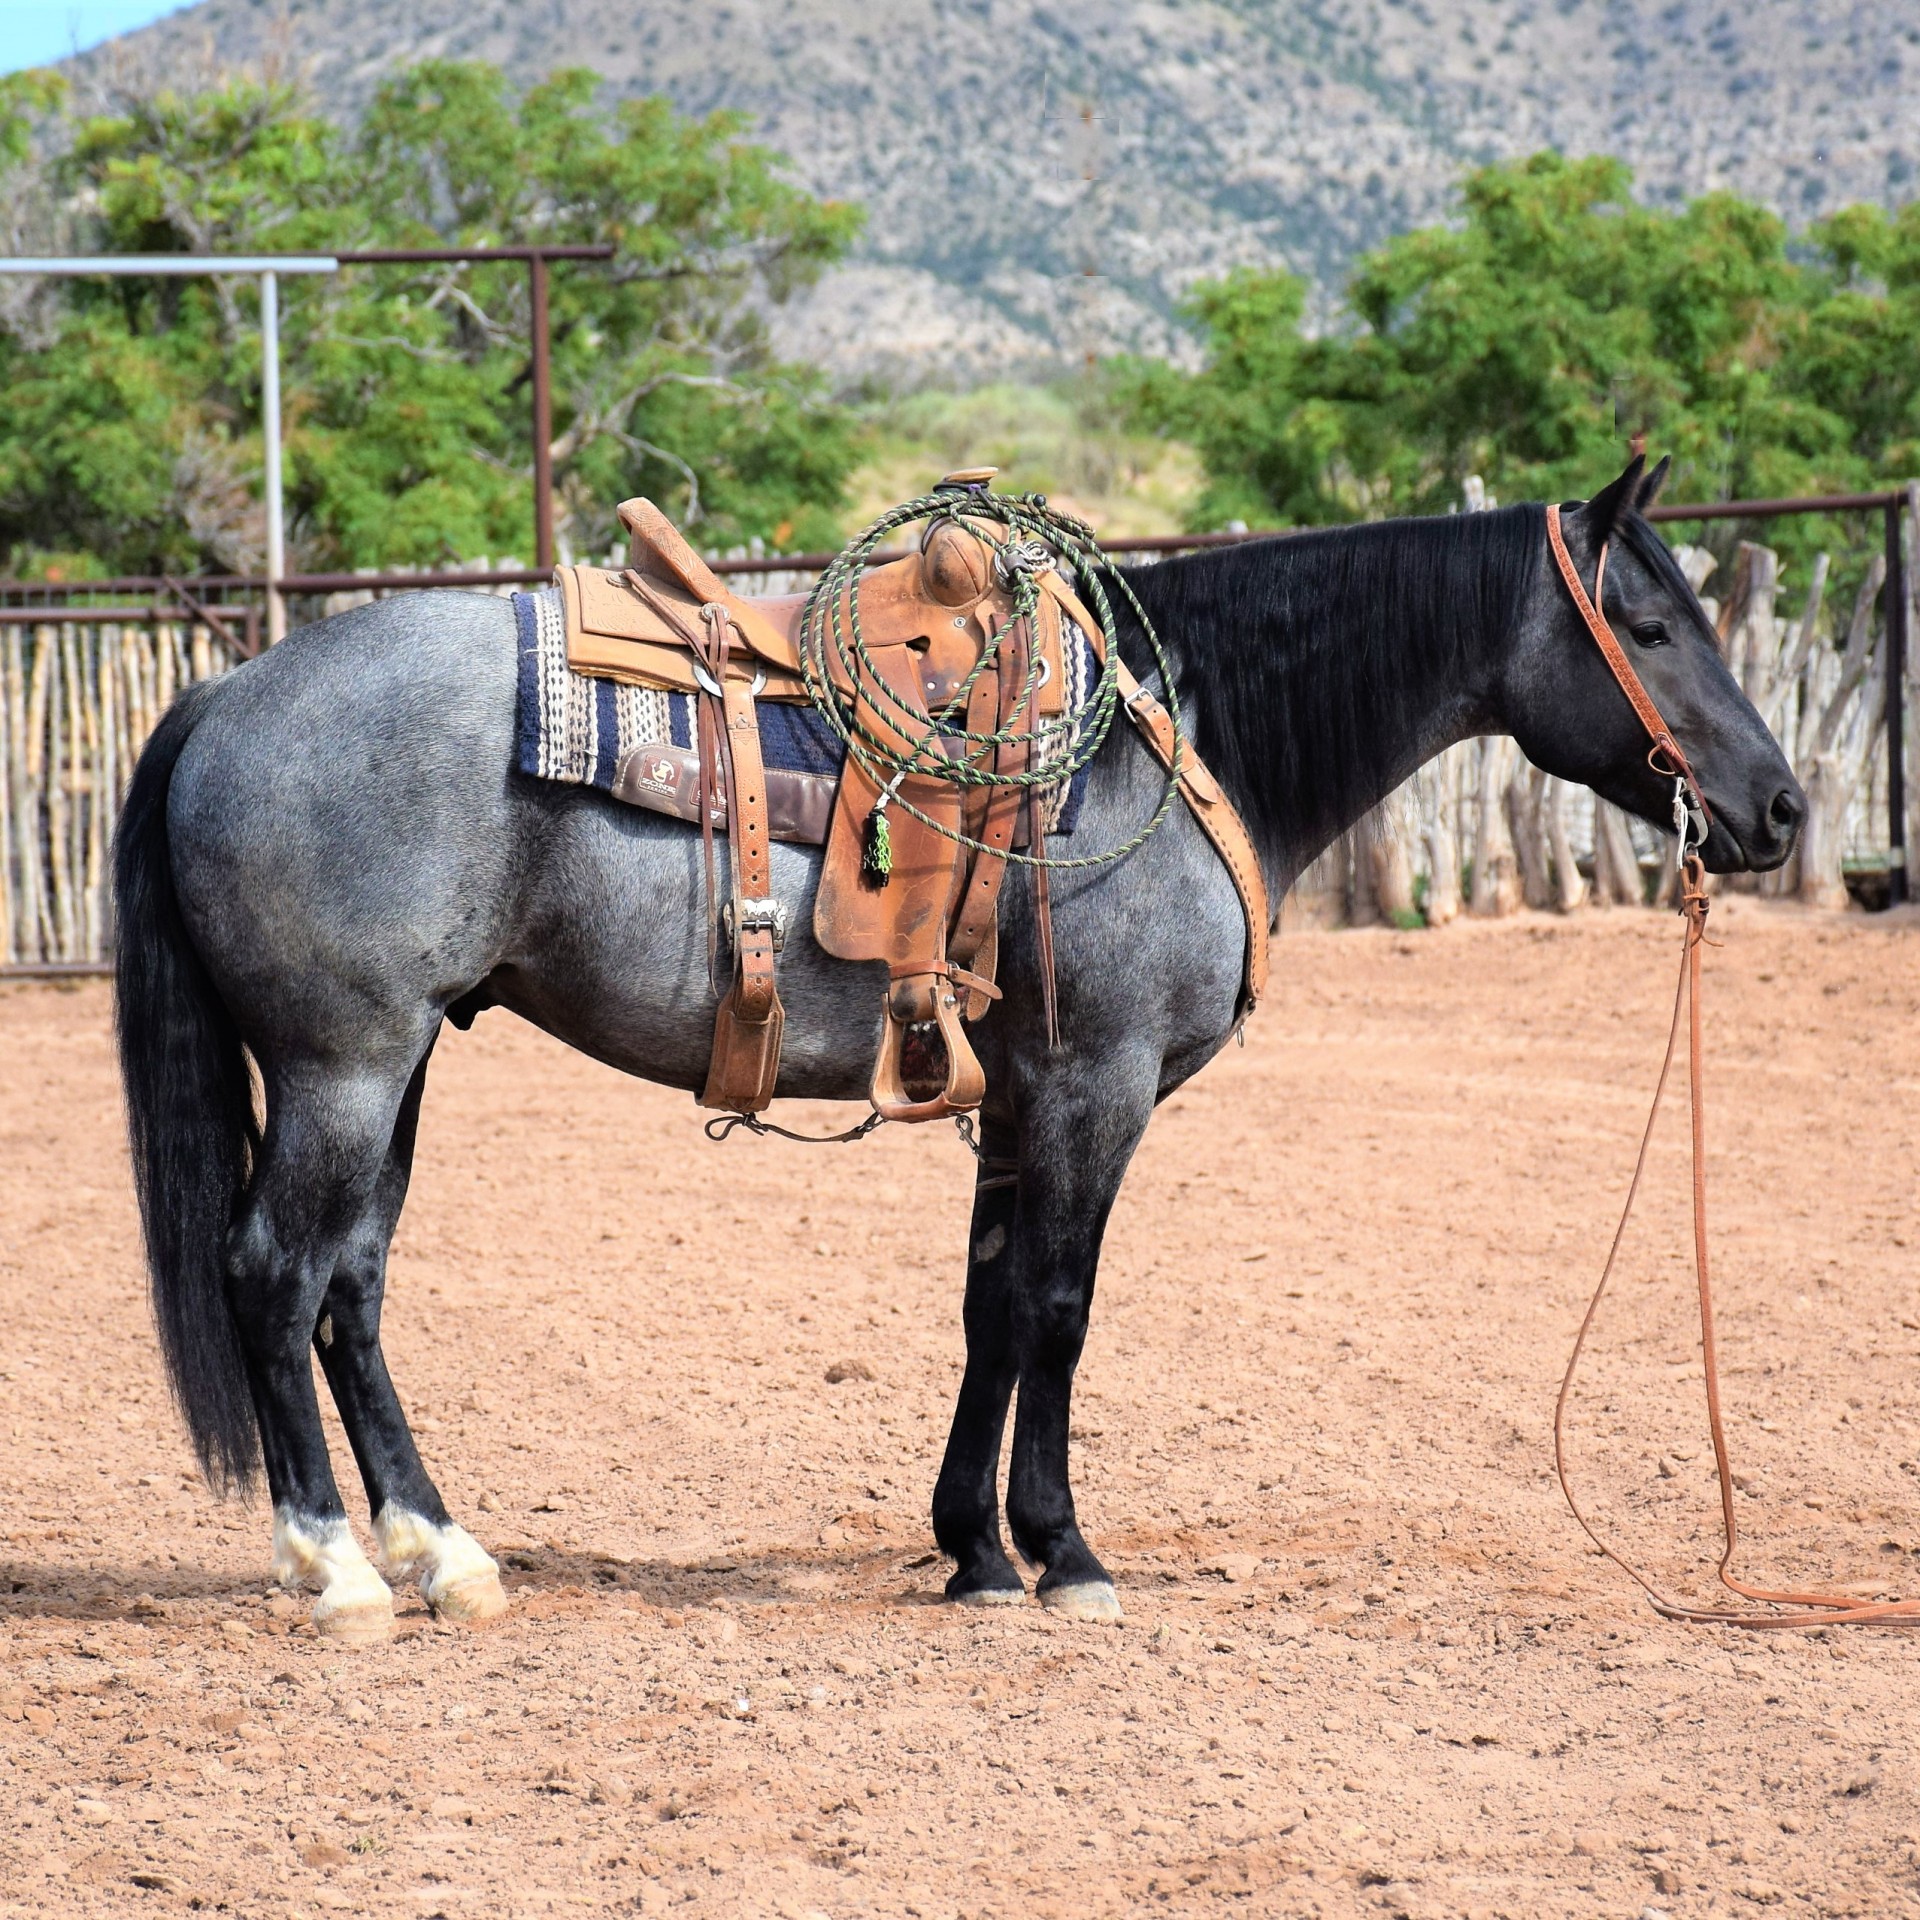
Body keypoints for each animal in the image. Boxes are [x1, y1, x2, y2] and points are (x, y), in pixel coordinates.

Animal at [116, 456, 1797, 1643]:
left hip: (397, 1069)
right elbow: (1058, 1308)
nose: (1778, 808)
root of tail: (224, 693)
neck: (1160, 747)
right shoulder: (1099, 1088)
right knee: (274, 1275)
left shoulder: (1023, 1097)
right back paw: (337, 1570)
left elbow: (990, 1307)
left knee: (351, 1291)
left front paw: (975, 1550)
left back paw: (442, 1554)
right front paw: (1063, 1553)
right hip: (341, 1067)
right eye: (1650, 624)